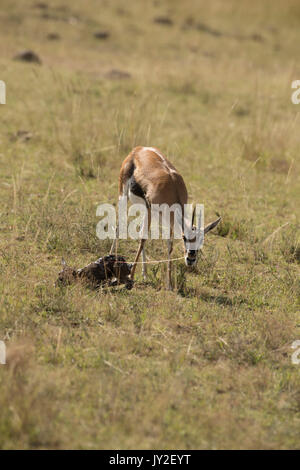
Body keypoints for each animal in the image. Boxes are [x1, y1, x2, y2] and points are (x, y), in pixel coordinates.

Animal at [110, 147, 220, 288]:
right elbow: (144, 238)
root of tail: (138, 149)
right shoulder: (150, 207)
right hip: (124, 195)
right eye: (184, 238)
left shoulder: (169, 220)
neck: (173, 187)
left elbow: (169, 245)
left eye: (202, 239)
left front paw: (169, 284)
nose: (190, 259)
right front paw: (131, 276)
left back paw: (145, 274)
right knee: (119, 227)